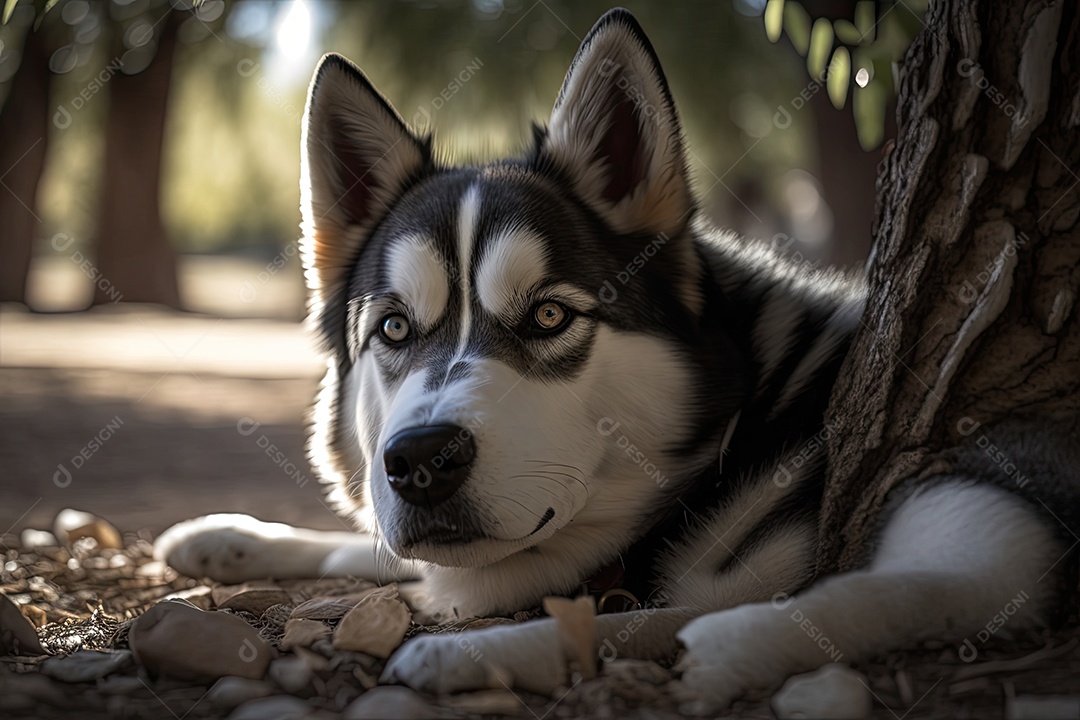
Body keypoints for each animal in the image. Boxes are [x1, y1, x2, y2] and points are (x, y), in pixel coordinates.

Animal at [154, 8, 1080, 712]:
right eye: (393, 330)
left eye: (549, 315)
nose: (419, 461)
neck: (733, 434)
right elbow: (377, 547)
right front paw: (227, 539)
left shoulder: (981, 530)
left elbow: (749, 605)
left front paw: (475, 651)